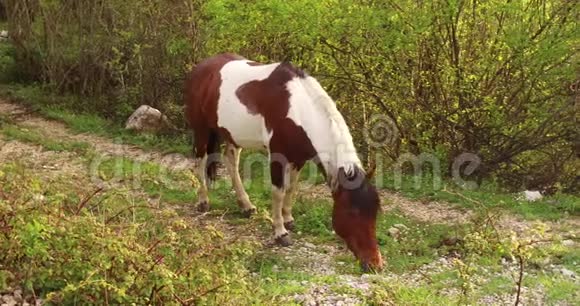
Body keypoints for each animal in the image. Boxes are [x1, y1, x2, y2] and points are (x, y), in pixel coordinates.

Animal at [184, 53, 382, 272]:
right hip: (201, 129)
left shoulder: (299, 158)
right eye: (351, 212)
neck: (298, 108)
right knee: (200, 162)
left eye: (375, 213)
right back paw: (203, 201)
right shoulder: (278, 156)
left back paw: (246, 206)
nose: (375, 263)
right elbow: (278, 192)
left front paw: (288, 219)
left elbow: (291, 189)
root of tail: (201, 68)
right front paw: (280, 233)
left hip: (232, 135)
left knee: (231, 161)